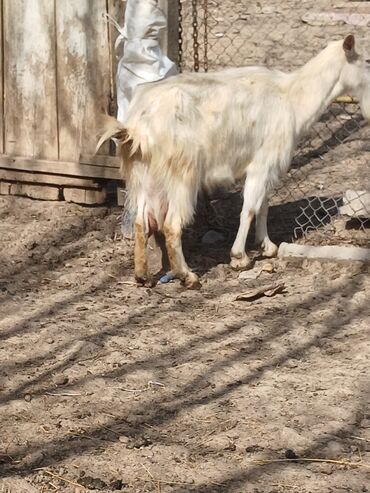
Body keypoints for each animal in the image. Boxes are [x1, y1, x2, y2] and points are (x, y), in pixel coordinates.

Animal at [97, 35, 370, 288]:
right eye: (367, 60)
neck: (293, 98)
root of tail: (137, 128)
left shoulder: (266, 167)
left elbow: (263, 205)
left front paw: (266, 246)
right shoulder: (263, 163)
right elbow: (250, 208)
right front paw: (240, 257)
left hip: (144, 175)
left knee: (141, 223)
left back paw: (142, 275)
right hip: (182, 174)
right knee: (171, 225)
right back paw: (188, 276)